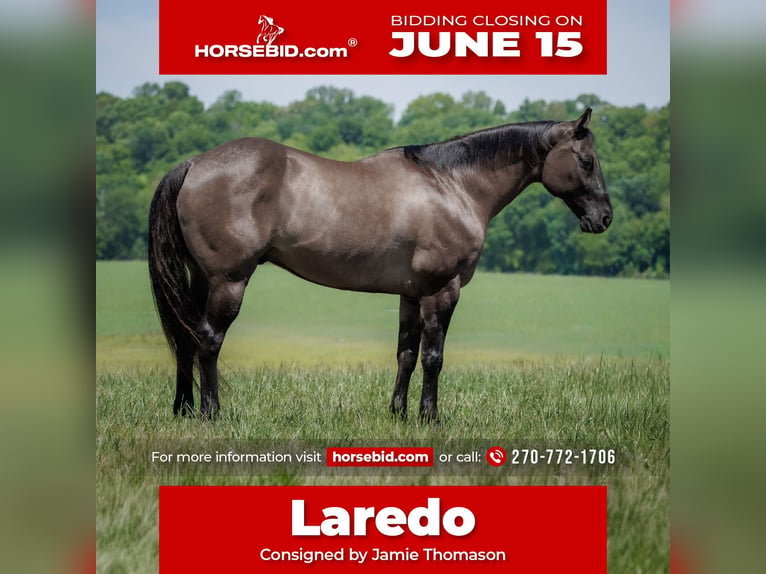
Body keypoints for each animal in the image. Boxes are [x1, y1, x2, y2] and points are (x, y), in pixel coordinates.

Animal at [148, 108, 612, 422]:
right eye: (586, 161)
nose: (604, 218)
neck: (452, 185)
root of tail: (195, 163)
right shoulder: (442, 289)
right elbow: (433, 357)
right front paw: (430, 418)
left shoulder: (411, 293)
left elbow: (406, 353)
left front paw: (398, 414)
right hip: (229, 281)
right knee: (209, 340)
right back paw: (211, 412)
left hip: (201, 279)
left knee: (187, 338)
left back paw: (183, 409)